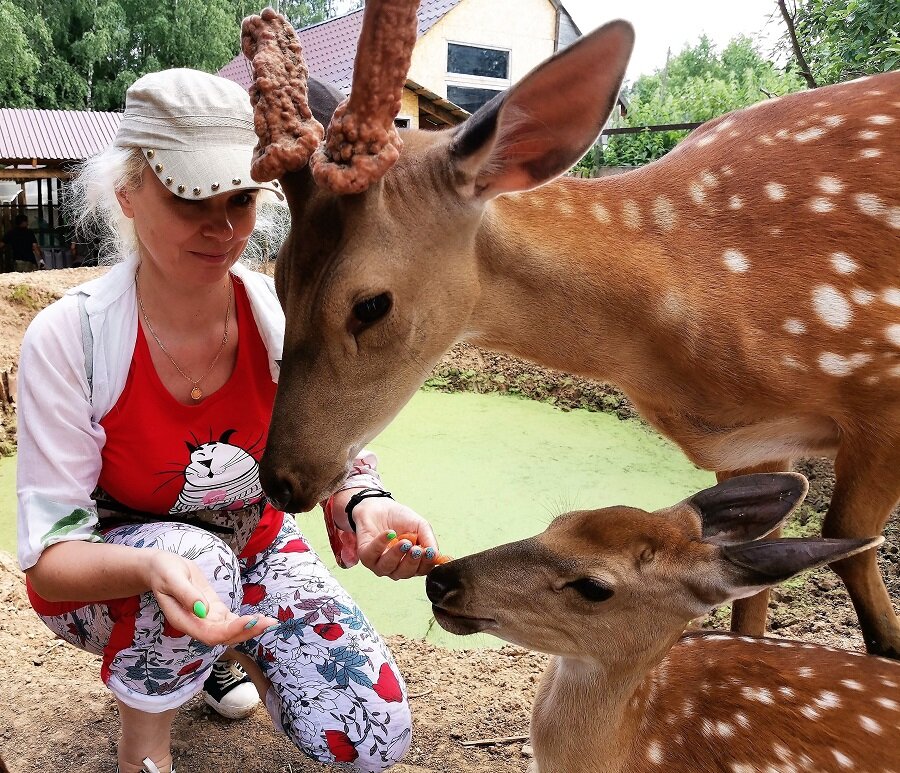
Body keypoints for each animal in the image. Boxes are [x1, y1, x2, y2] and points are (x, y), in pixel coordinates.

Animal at [241, 6, 900, 656]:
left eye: (372, 305)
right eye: (281, 278)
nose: (281, 480)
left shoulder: (880, 390)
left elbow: (848, 549)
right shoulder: (753, 446)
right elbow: (751, 590)